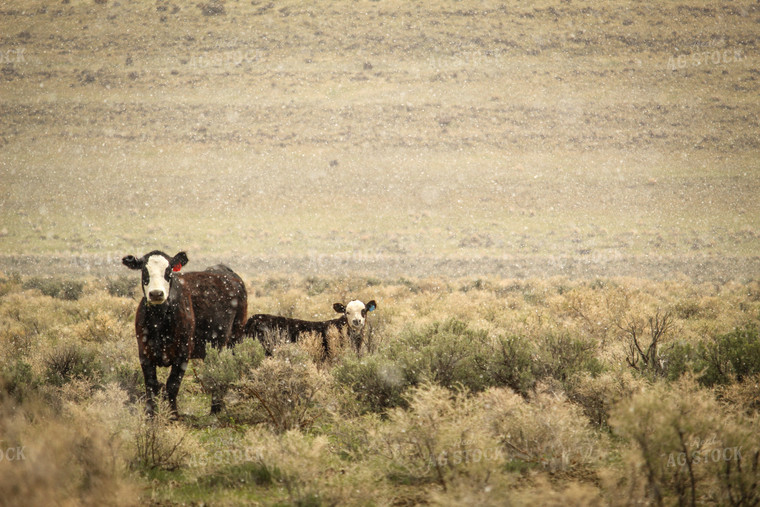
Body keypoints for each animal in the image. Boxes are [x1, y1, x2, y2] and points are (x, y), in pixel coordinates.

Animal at [121, 252, 246, 418]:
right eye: (144, 271)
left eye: (168, 271)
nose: (156, 294)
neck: (159, 320)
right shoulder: (144, 353)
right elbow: (151, 385)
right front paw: (150, 415)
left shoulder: (182, 354)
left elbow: (172, 384)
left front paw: (173, 415)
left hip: (235, 338)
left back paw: (216, 409)